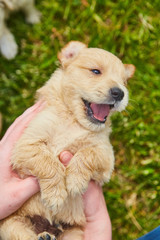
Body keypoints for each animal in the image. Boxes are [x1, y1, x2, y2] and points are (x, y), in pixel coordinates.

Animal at [0, 40, 136, 238]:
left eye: (124, 82)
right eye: (96, 71)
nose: (120, 93)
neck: (73, 120)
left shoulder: (105, 155)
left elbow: (87, 154)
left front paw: (74, 181)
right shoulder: (26, 145)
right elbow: (48, 162)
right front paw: (56, 194)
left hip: (74, 232)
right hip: (12, 225)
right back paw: (44, 235)